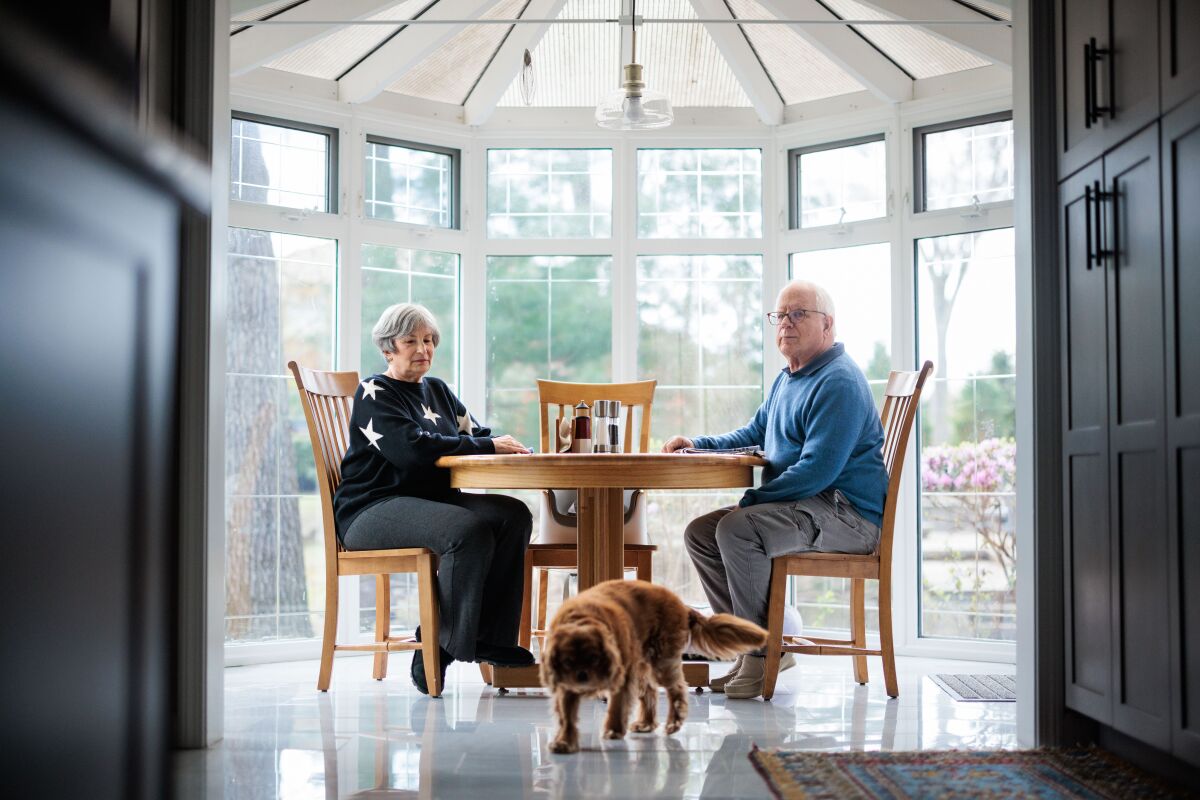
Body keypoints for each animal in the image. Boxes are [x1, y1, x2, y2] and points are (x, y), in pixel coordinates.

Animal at [540, 578, 763, 753]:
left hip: (661, 662)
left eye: (594, 658)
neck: (582, 619)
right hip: (642, 666)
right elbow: (566, 715)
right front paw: (564, 742)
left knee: (677, 690)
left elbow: (617, 706)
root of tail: (681, 604)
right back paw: (646, 724)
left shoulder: (623, 677)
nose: (582, 676)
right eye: (567, 662)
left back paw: (673, 723)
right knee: (650, 693)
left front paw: (613, 730)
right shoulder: (566, 685)